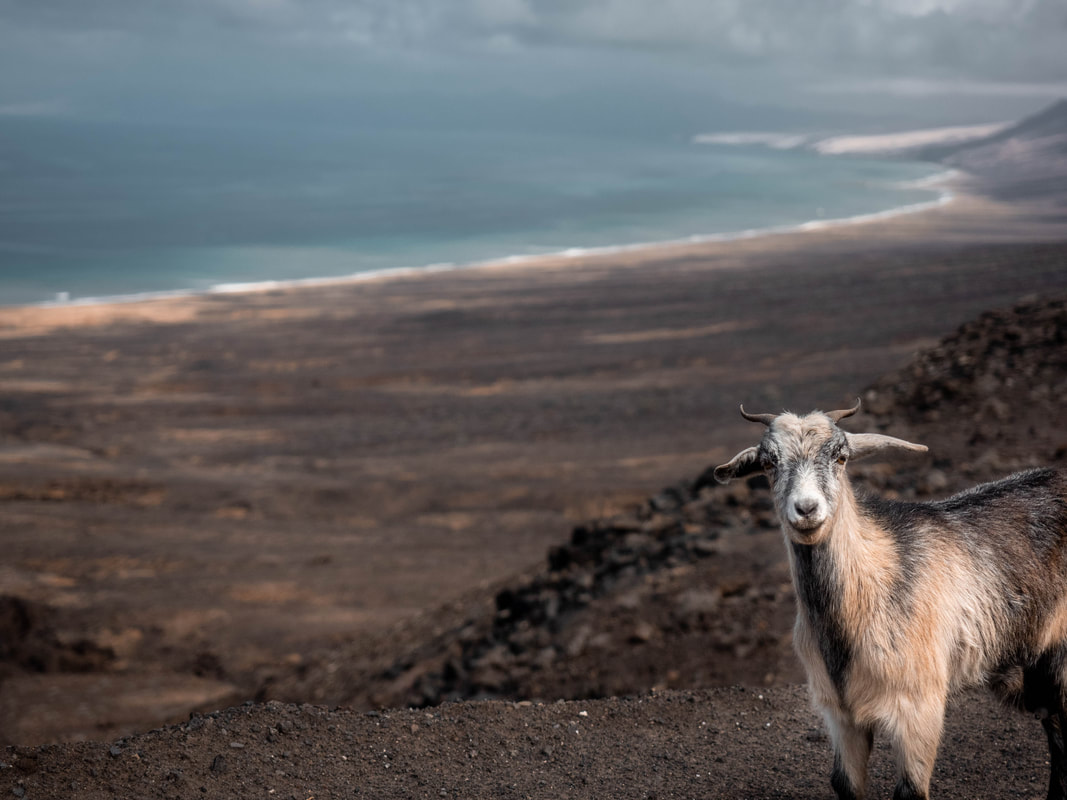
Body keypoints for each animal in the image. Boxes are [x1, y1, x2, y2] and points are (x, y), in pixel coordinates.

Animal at [712, 401, 1067, 800]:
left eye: (840, 457)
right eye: (769, 462)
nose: (806, 509)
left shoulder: (920, 710)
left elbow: (911, 790)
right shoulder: (840, 715)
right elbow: (845, 783)